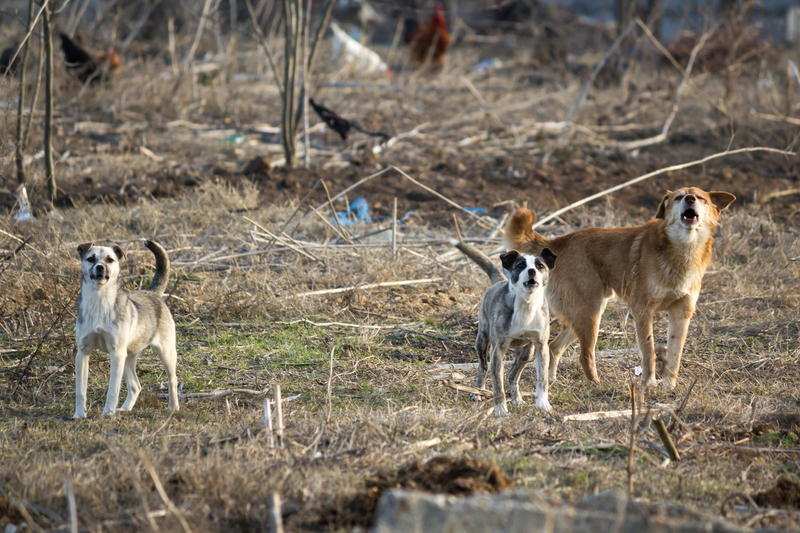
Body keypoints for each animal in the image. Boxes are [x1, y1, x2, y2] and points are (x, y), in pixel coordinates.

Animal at [74, 239, 180, 418]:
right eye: (91, 259)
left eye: (110, 260)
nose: (100, 268)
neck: (99, 301)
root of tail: (153, 294)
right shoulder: (83, 353)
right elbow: (80, 390)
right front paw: (79, 414)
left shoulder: (116, 353)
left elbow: (112, 389)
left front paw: (107, 413)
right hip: (128, 358)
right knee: (136, 385)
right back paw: (125, 409)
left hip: (166, 353)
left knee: (172, 380)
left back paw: (173, 407)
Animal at [456, 241, 556, 416]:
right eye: (520, 265)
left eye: (540, 266)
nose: (531, 271)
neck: (526, 304)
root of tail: (499, 281)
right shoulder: (498, 350)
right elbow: (498, 384)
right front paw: (501, 409)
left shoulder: (541, 346)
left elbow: (542, 379)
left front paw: (543, 404)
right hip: (482, 341)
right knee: (483, 367)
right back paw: (478, 392)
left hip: (527, 352)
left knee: (512, 375)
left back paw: (517, 398)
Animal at [510, 187, 736, 386]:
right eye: (679, 197)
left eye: (700, 198)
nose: (690, 199)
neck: (682, 249)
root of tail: (559, 242)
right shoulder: (642, 309)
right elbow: (649, 350)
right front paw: (648, 383)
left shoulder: (682, 312)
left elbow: (675, 354)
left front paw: (669, 386)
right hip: (590, 313)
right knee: (585, 355)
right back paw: (597, 384)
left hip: (581, 315)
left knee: (554, 347)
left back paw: (551, 382)